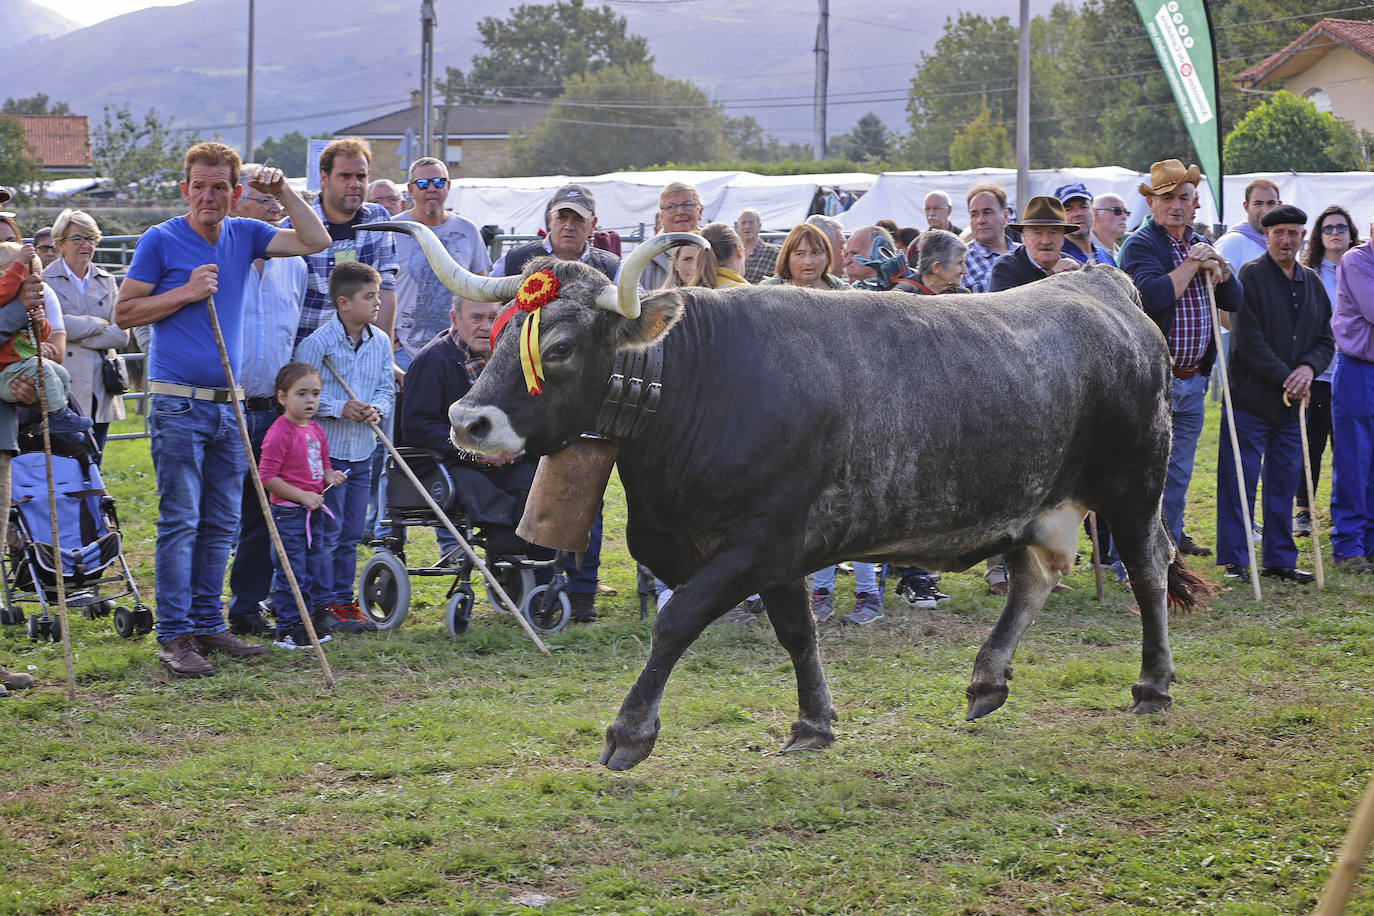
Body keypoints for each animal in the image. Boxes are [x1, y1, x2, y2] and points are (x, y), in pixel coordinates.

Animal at [370, 225, 1209, 769]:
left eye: (564, 346)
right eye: (500, 334)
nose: (466, 420)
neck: (696, 386)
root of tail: (1100, 281)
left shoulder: (758, 542)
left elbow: (675, 620)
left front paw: (629, 734)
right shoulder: (777, 554)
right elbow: (799, 633)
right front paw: (813, 724)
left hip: (1134, 484)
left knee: (1146, 569)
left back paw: (1152, 687)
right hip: (1049, 500)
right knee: (1036, 575)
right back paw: (986, 679)